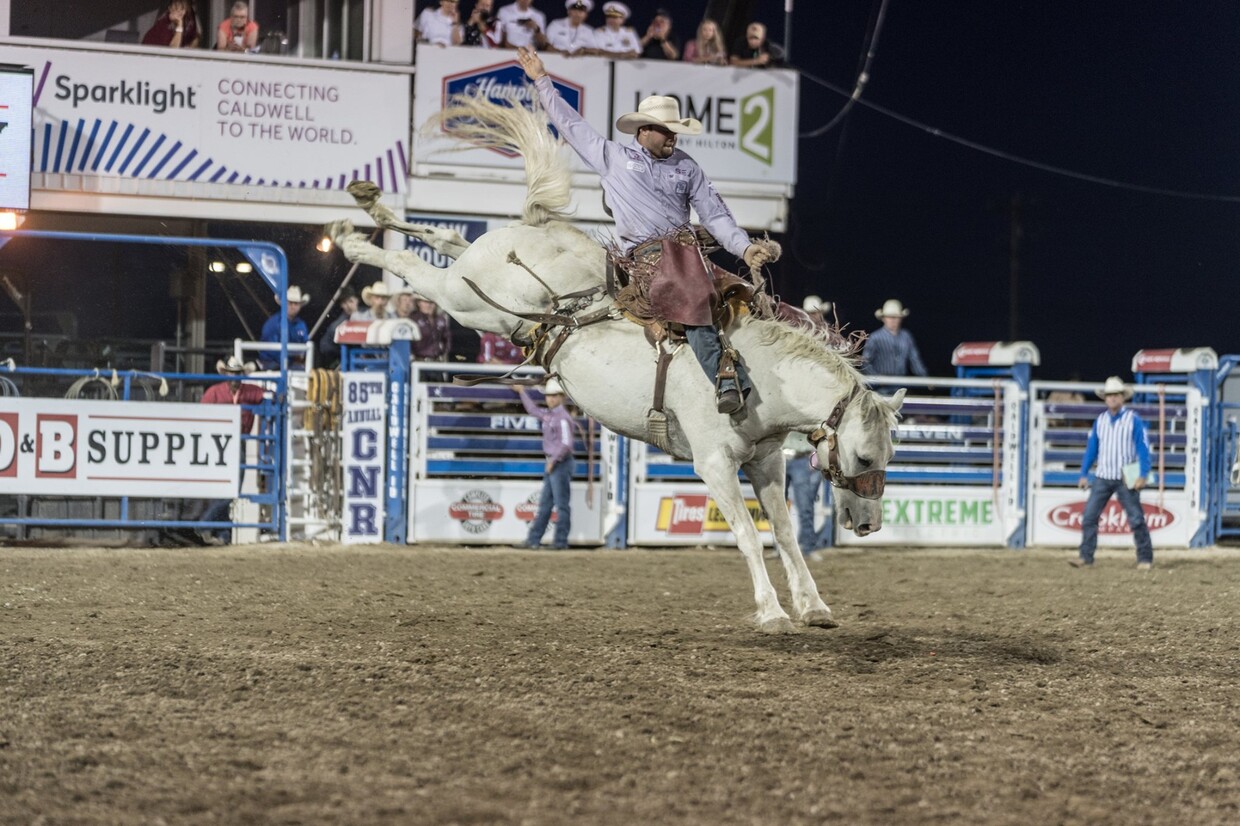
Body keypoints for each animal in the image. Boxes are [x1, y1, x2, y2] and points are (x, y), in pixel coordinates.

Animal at [327, 93, 902, 630]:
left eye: (888, 457)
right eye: (865, 458)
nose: (869, 525)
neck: (760, 378)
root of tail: (538, 229)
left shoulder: (765, 461)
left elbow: (783, 532)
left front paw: (813, 605)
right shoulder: (714, 463)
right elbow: (746, 534)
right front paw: (772, 612)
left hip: (474, 279)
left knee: (445, 236)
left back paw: (371, 205)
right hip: (464, 300)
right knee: (411, 262)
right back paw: (353, 239)